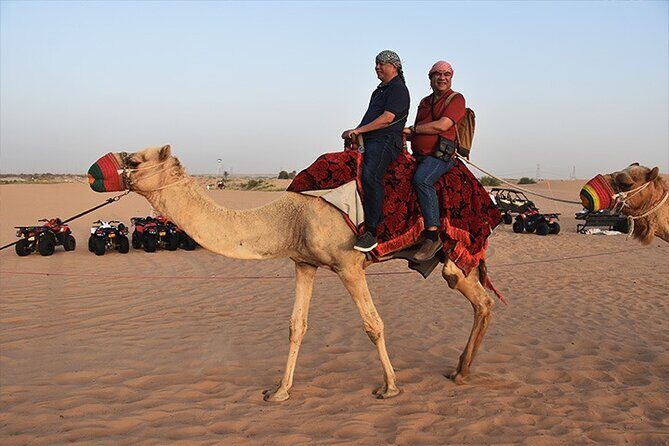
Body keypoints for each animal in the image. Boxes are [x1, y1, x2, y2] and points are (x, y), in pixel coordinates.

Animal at [110, 145, 496, 401]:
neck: (291, 217)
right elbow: (297, 326)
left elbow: (373, 324)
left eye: (135, 161)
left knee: (479, 299)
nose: (105, 167)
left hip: (458, 250)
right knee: (482, 303)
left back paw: (461, 372)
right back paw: (460, 371)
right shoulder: (304, 263)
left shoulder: (349, 265)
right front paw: (279, 391)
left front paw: (390, 387)